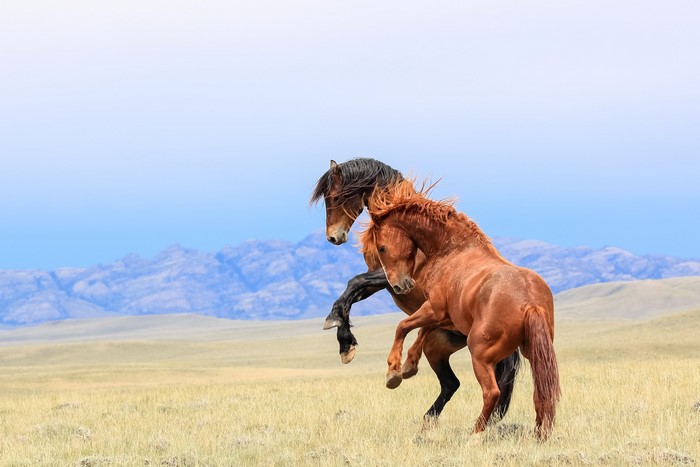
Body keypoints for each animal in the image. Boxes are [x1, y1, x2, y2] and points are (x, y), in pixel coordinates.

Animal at [310, 158, 521, 425]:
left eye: (335, 197)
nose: (333, 237)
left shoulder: (394, 276)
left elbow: (353, 282)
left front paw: (342, 336)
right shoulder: (384, 282)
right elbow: (349, 295)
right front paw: (344, 340)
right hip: (438, 347)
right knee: (450, 383)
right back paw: (425, 417)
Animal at [362, 179, 560, 439]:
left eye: (382, 248)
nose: (399, 285)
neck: (452, 249)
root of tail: (530, 303)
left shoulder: (434, 308)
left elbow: (403, 326)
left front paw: (394, 372)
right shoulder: (444, 316)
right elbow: (421, 331)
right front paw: (408, 367)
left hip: (480, 355)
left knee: (492, 393)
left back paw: (474, 434)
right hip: (533, 351)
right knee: (540, 392)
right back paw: (539, 434)